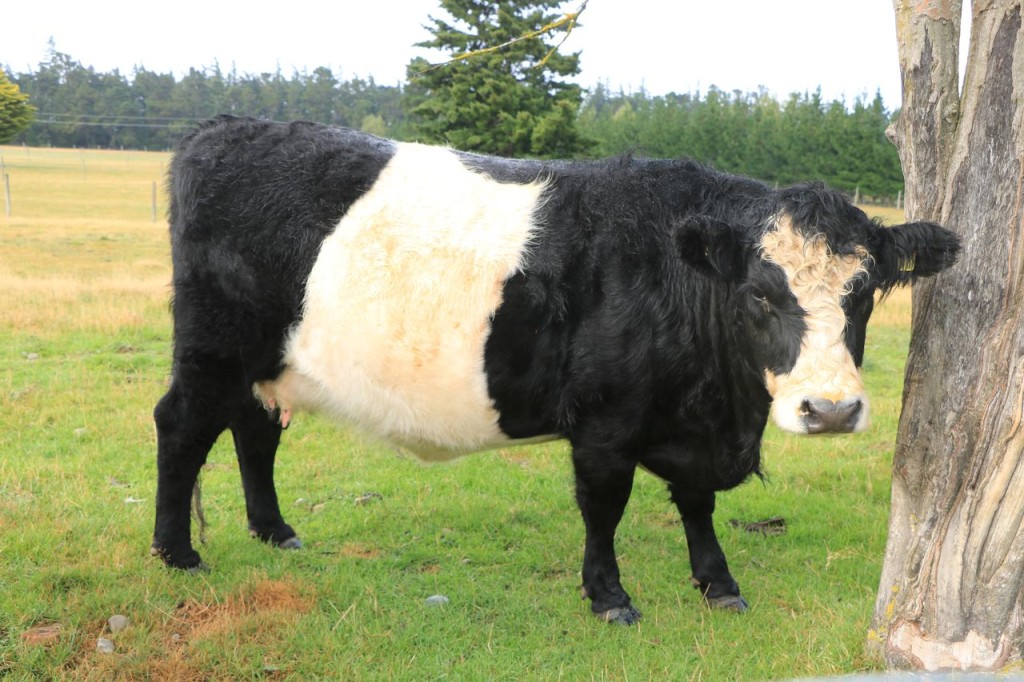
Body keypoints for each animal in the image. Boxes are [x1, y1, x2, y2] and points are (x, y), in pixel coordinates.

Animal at [152, 115, 960, 624]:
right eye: (759, 293)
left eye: (865, 293)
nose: (831, 410)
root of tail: (223, 127)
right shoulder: (605, 423)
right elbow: (604, 508)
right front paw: (610, 598)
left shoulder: (691, 424)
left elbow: (697, 505)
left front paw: (719, 584)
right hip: (212, 351)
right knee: (183, 428)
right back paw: (176, 553)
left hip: (265, 364)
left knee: (255, 431)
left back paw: (274, 530)